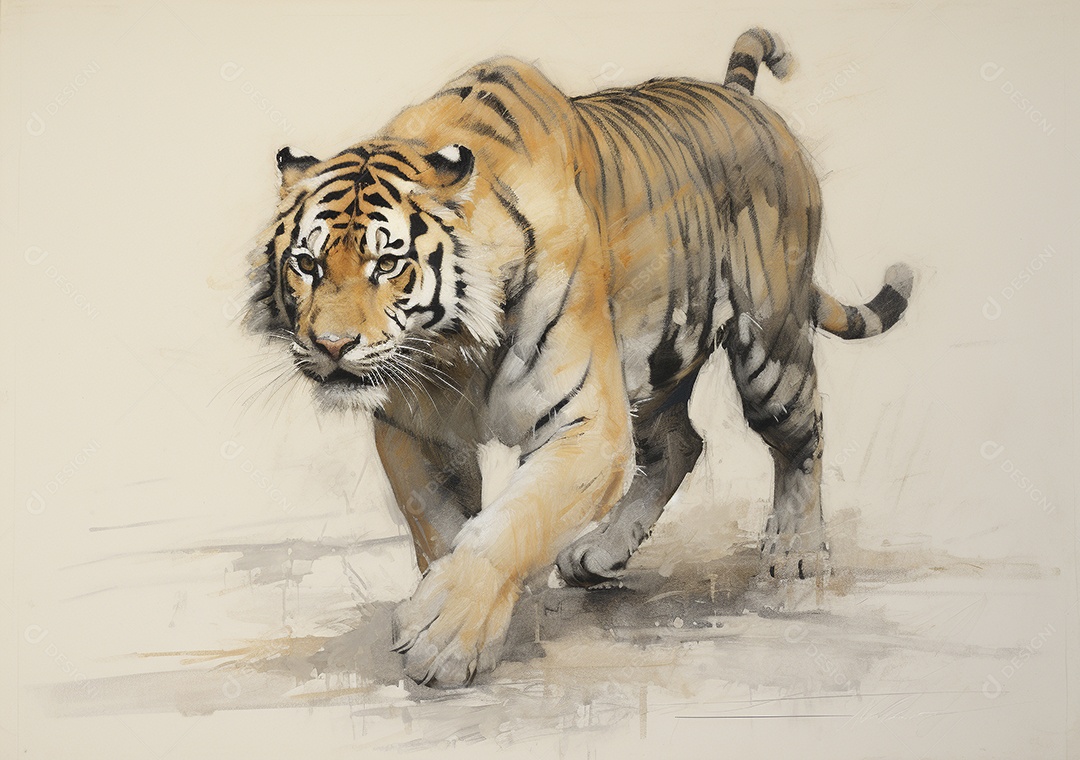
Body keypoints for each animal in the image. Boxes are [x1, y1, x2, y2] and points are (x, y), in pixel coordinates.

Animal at [245, 27, 913, 687]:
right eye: (305, 263)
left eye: (387, 263)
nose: (332, 346)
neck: (452, 348)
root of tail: (742, 98)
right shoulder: (414, 433)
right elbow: (442, 528)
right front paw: (460, 613)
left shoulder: (587, 422)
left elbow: (513, 523)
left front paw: (445, 637)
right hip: (655, 365)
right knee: (680, 443)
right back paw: (599, 555)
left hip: (769, 344)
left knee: (801, 435)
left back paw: (796, 553)